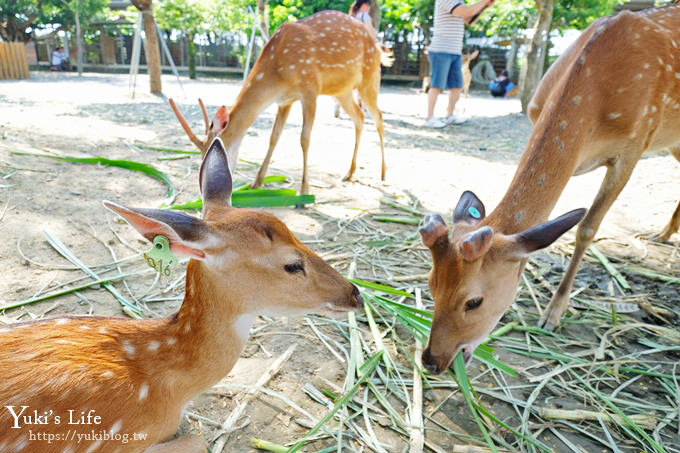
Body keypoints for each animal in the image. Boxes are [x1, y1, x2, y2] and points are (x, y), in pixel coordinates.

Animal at [169, 10, 388, 196]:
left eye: (212, 153)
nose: (205, 190)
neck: (278, 75)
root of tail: (378, 47)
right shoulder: (285, 101)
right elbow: (274, 137)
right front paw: (257, 182)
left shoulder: (310, 89)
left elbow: (304, 139)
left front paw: (304, 193)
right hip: (343, 91)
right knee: (359, 117)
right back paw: (349, 173)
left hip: (370, 77)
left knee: (378, 116)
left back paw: (383, 174)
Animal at [420, 4, 680, 374]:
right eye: (431, 282)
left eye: (474, 301)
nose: (432, 361)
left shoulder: (634, 146)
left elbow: (586, 228)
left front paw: (553, 314)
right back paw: (664, 232)